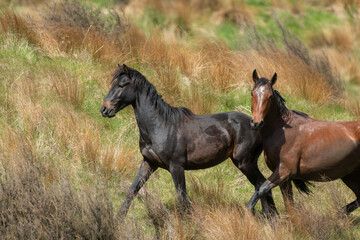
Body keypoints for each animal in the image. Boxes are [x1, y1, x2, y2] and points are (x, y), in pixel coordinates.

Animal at [100, 63, 278, 218]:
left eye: (122, 85)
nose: (104, 109)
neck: (159, 125)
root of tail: (258, 125)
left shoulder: (176, 167)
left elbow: (183, 199)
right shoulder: (149, 163)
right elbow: (133, 189)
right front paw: (118, 219)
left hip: (245, 163)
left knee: (262, 185)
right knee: (263, 187)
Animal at [246, 69, 360, 214]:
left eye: (270, 96)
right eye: (252, 93)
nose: (256, 123)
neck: (281, 131)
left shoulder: (284, 171)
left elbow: (261, 189)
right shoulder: (285, 179)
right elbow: (289, 205)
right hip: (350, 175)